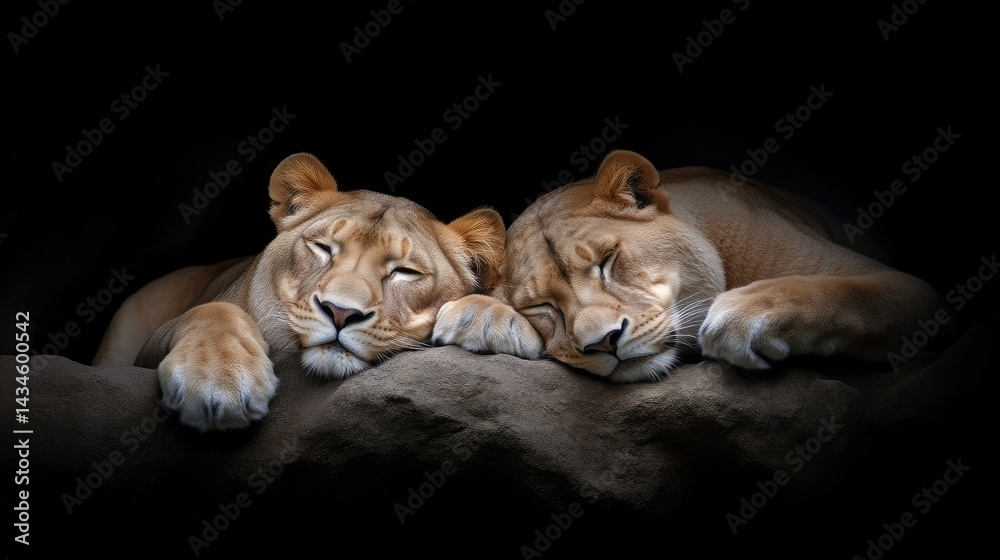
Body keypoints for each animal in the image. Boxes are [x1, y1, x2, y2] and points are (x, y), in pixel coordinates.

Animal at [432, 150, 946, 383]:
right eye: (541, 306)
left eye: (607, 262)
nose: (605, 342)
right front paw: (477, 313)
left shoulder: (910, 289)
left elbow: (843, 292)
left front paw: (744, 313)